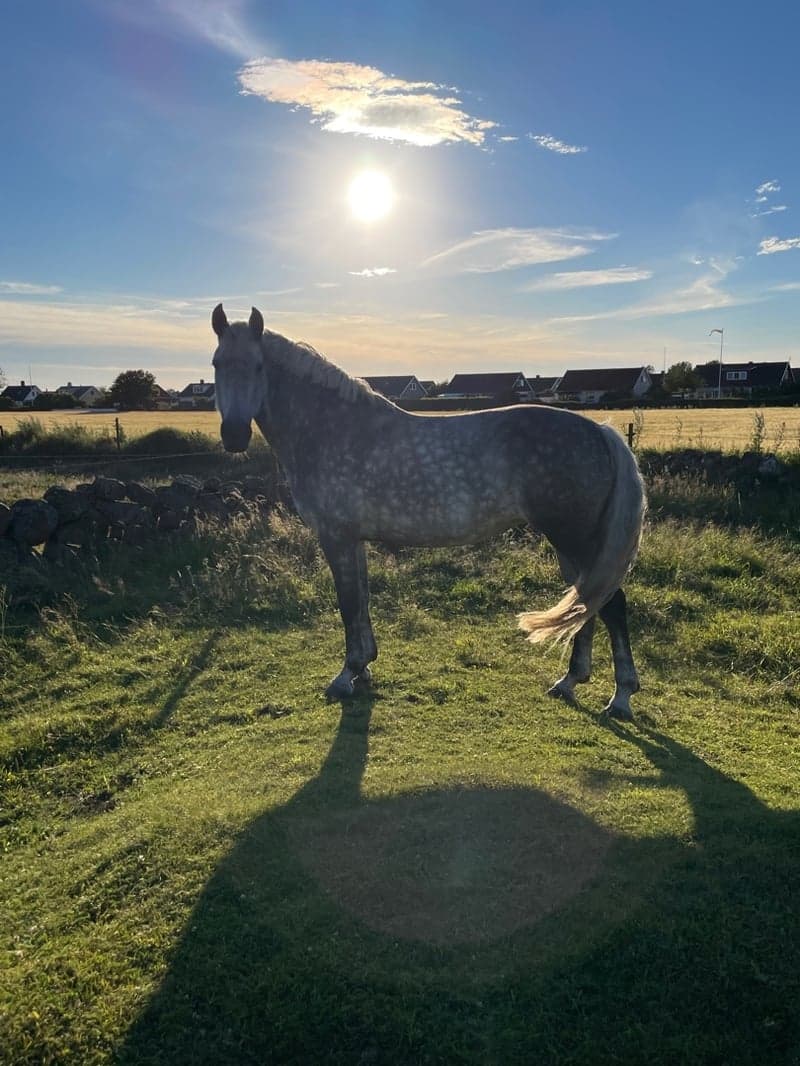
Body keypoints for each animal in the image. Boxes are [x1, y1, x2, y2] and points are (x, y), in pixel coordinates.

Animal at [211, 302, 644, 716]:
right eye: (217, 363)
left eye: (258, 365)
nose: (233, 436)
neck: (332, 429)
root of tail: (600, 431)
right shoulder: (354, 540)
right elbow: (361, 601)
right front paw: (364, 667)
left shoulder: (336, 538)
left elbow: (348, 604)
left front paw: (346, 675)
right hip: (570, 542)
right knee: (586, 601)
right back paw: (570, 681)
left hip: (573, 538)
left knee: (610, 604)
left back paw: (620, 698)